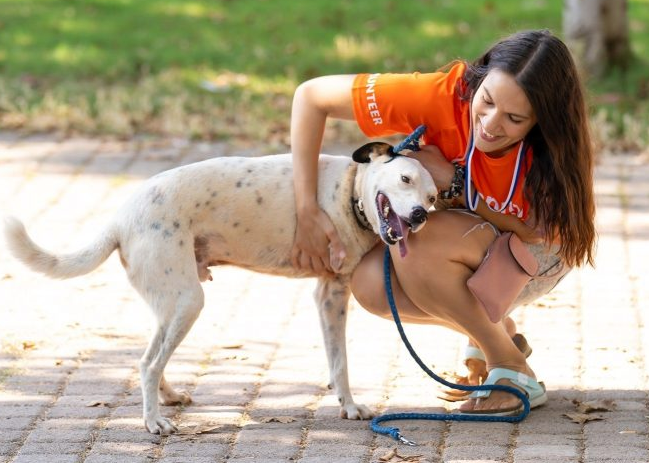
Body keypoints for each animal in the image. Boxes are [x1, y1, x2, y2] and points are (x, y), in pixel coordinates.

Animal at [3, 141, 436, 436]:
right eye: (404, 178)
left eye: (432, 198)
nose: (418, 216)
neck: (348, 193)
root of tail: (120, 219)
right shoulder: (330, 297)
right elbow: (342, 361)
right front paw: (349, 406)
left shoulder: (330, 294)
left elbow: (337, 360)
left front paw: (345, 403)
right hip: (188, 302)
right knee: (148, 364)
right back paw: (154, 421)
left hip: (171, 303)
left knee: (149, 359)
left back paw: (169, 398)